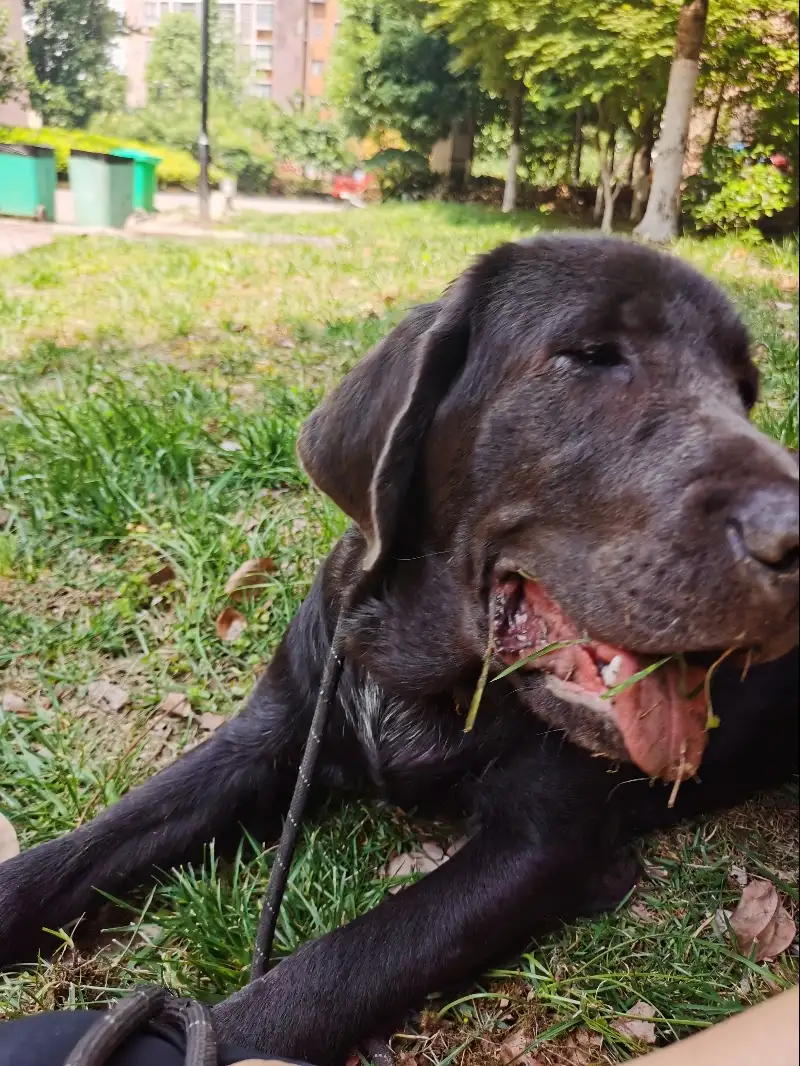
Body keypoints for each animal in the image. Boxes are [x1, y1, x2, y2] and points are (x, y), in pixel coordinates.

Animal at [1, 237, 800, 1061]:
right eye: (590, 355)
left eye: (743, 391)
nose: (795, 540)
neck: (405, 667)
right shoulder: (266, 739)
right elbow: (89, 846)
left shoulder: (541, 845)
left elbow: (328, 972)